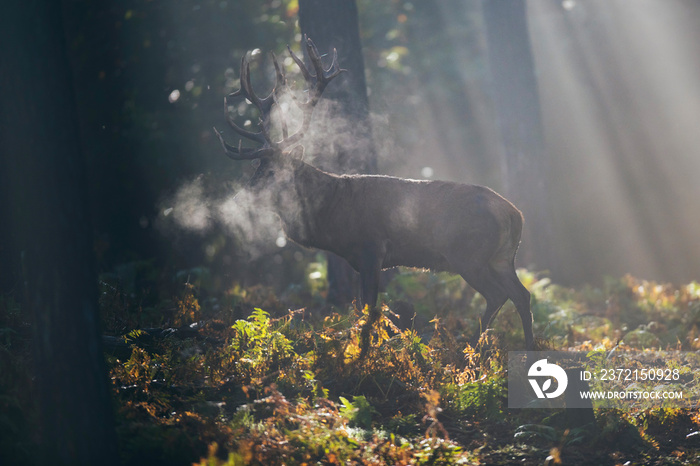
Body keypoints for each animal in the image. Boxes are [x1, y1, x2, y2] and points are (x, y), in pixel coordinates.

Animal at [216, 38, 532, 356]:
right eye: (255, 168)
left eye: (272, 172)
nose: (237, 201)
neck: (332, 216)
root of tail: (515, 215)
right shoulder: (359, 259)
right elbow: (360, 306)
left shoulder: (372, 249)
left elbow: (369, 308)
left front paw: (365, 351)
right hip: (503, 257)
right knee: (523, 294)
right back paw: (527, 346)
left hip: (468, 254)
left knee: (498, 294)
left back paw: (471, 349)